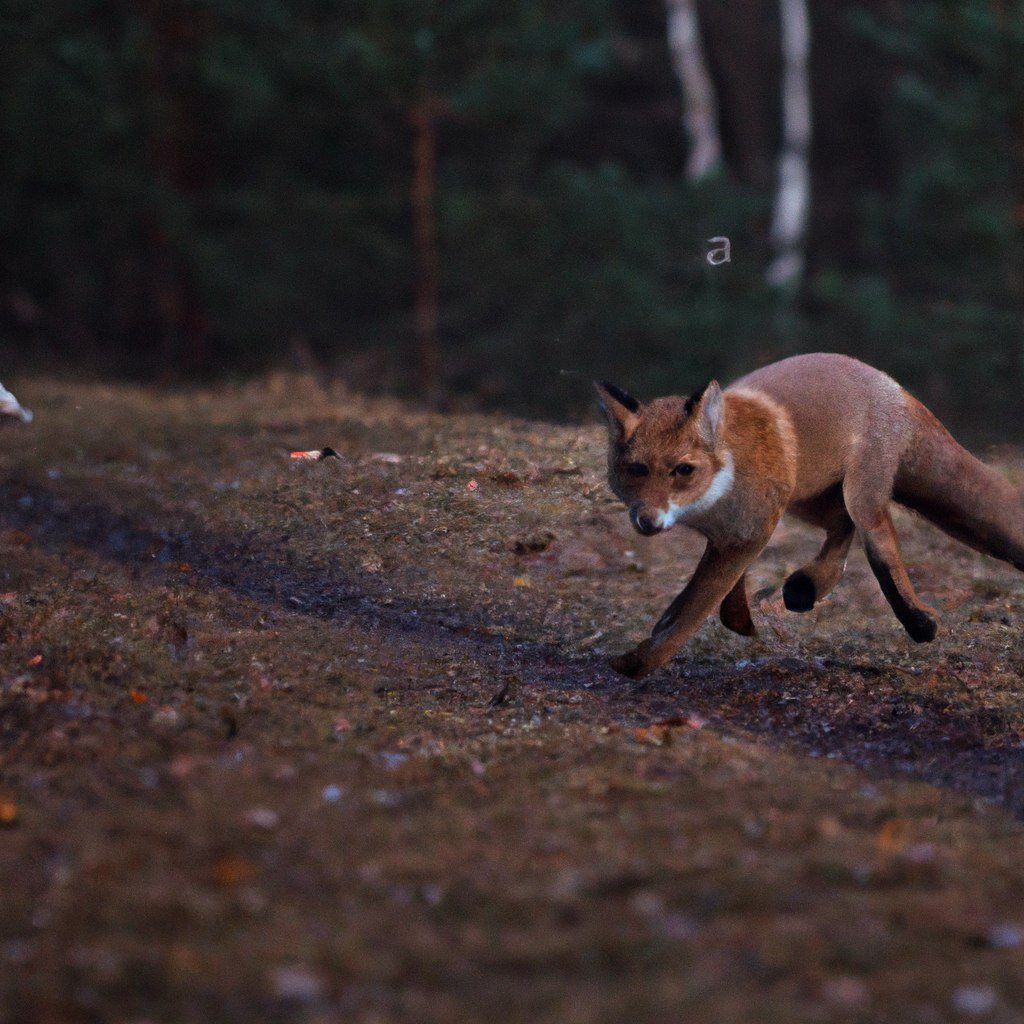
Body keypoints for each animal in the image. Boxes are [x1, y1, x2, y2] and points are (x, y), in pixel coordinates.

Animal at [598, 352, 1024, 679]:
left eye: (683, 470)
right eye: (636, 470)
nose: (648, 522)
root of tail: (892, 385)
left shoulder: (748, 533)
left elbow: (688, 611)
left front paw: (636, 664)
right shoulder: (729, 536)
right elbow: (711, 598)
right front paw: (740, 618)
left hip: (860, 495)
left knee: (878, 545)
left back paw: (916, 620)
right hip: (806, 497)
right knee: (840, 529)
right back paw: (807, 587)